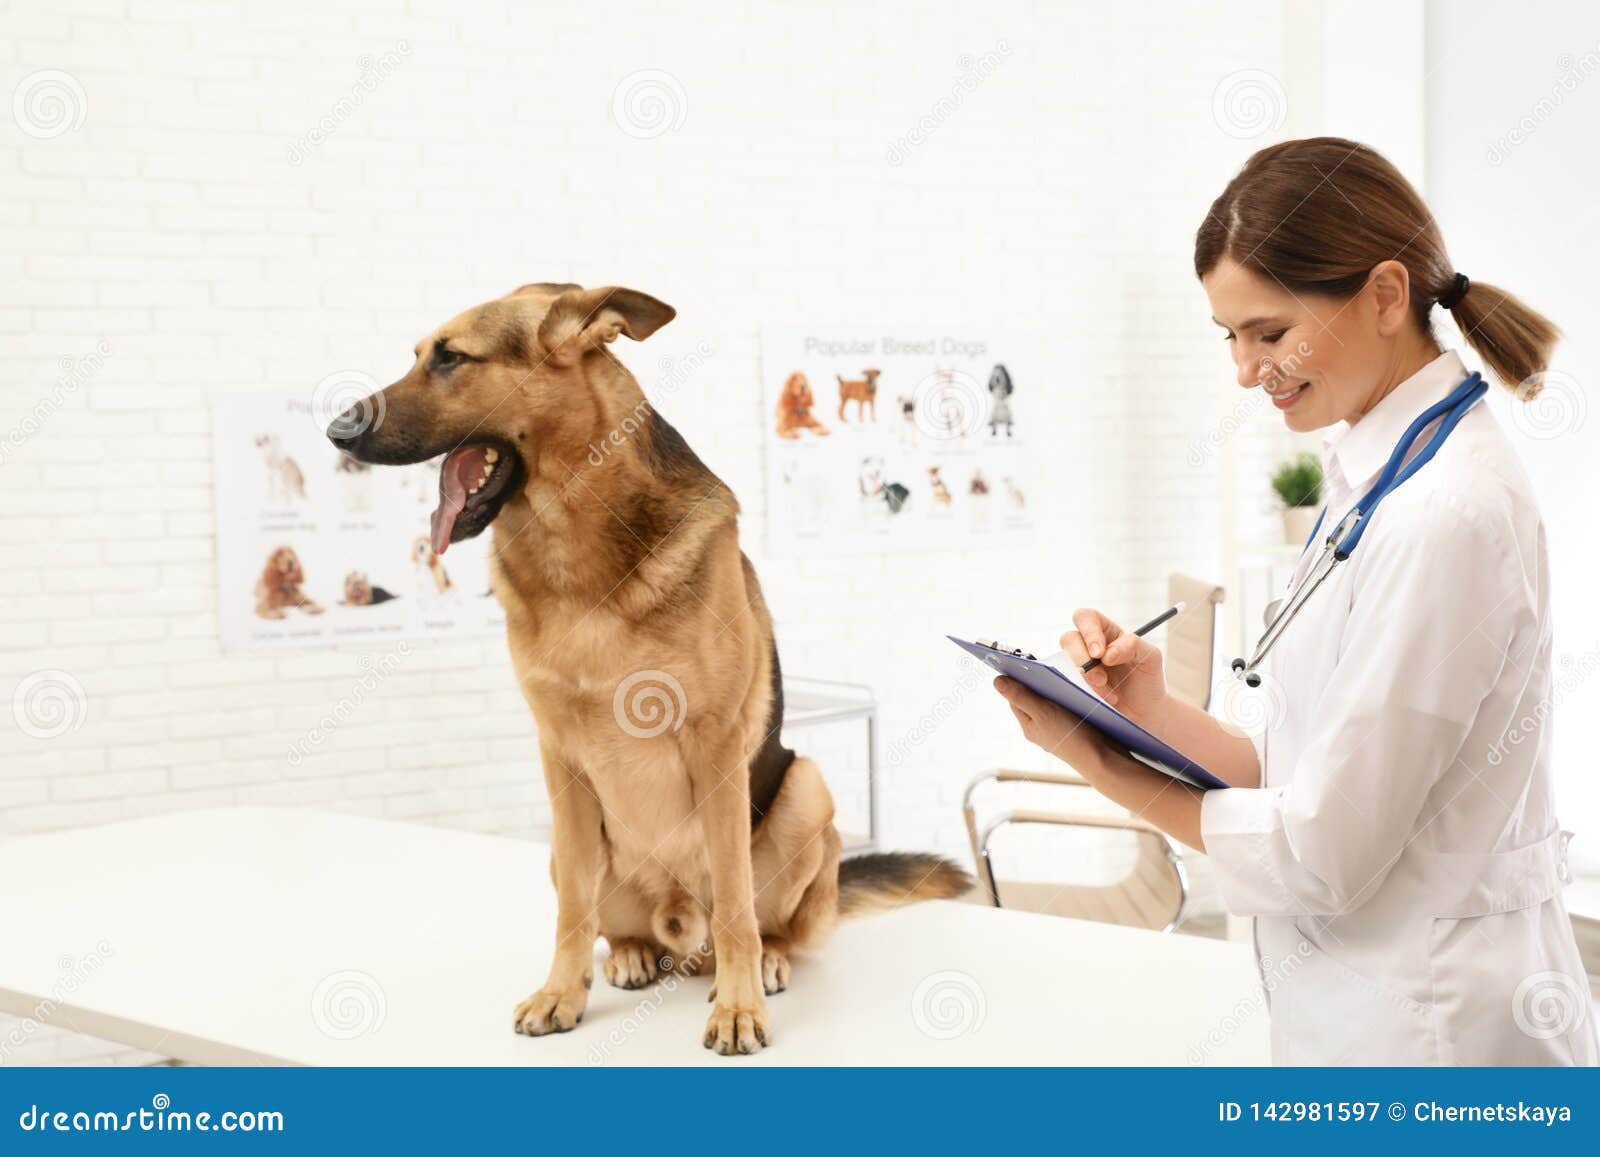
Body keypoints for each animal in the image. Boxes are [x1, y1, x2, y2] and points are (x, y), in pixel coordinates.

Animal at [331, 284, 966, 1056]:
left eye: (451, 357)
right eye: (421, 354)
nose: (334, 430)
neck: (572, 541)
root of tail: (678, 928)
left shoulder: (715, 743)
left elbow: (737, 901)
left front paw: (740, 1008)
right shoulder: (559, 758)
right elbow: (573, 909)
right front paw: (562, 992)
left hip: (808, 789)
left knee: (765, 920)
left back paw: (766, 962)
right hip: (565, 841)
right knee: (617, 923)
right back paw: (632, 954)